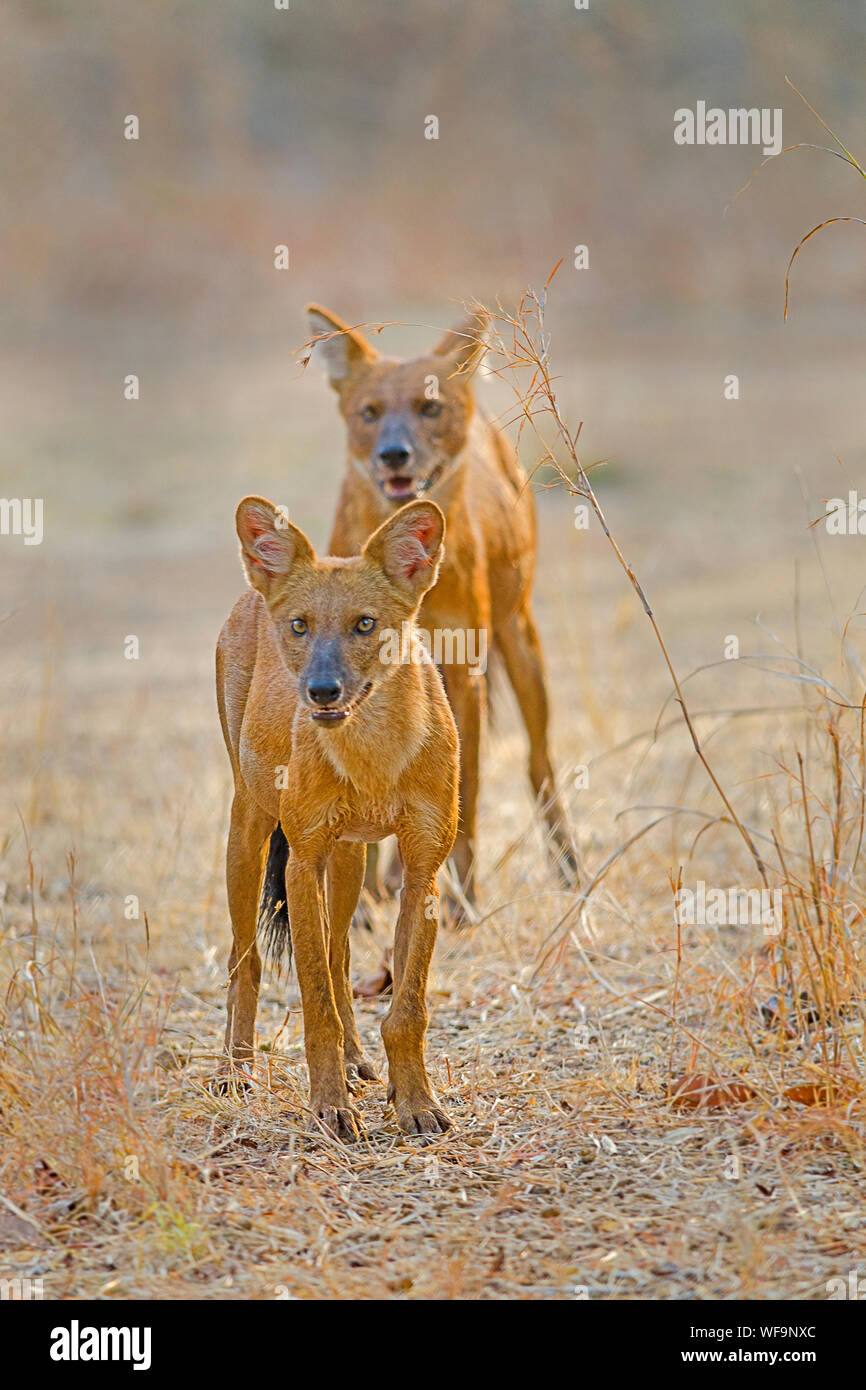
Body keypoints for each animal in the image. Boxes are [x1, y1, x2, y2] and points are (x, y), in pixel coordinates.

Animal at [216, 494, 461, 1134]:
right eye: (300, 626)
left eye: (365, 624)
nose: (322, 691)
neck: (373, 755)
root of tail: (252, 589)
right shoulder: (301, 860)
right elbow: (315, 1002)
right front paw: (330, 1107)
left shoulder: (423, 868)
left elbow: (406, 1005)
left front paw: (417, 1103)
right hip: (249, 828)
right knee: (245, 959)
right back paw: (234, 1071)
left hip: (351, 856)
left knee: (339, 953)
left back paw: (356, 1060)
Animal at [294, 303, 578, 906]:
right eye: (370, 413)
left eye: (430, 408)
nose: (394, 454)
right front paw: (362, 903)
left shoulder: (465, 670)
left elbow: (466, 793)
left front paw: (461, 903)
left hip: (520, 642)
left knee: (538, 762)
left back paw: (569, 869)